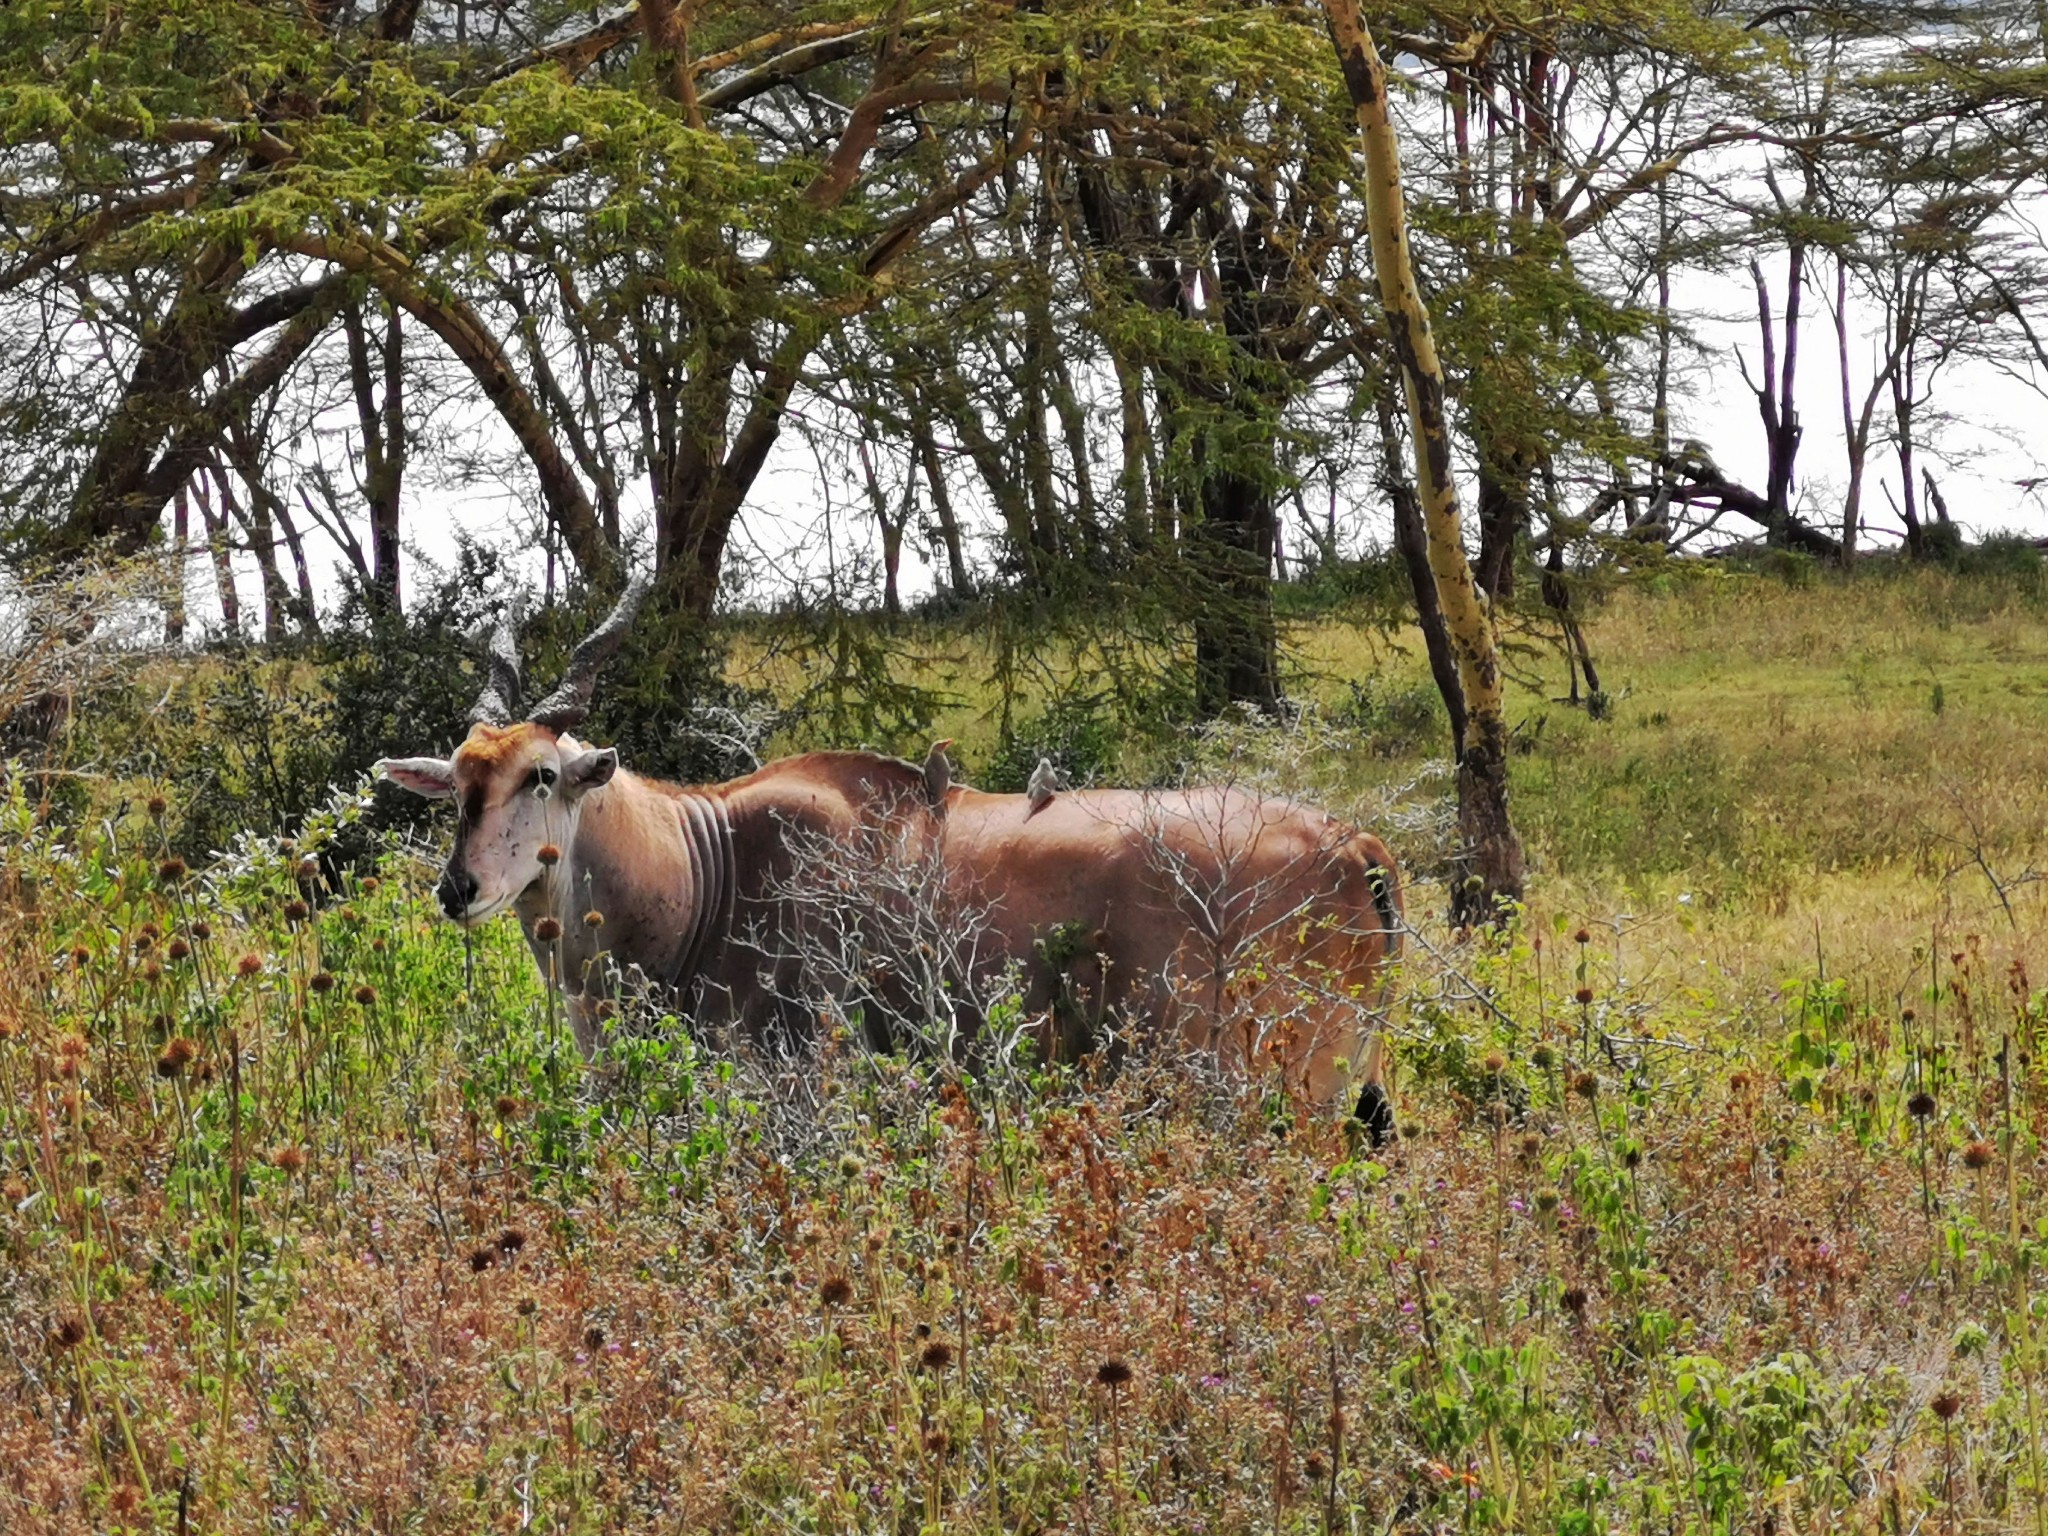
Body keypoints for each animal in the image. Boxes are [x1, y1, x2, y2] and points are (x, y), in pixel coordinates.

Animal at [380, 581, 1409, 1138]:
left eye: (543, 774)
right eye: (459, 781)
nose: (458, 887)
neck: (707, 865)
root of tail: (1351, 846)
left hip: (1278, 1088)